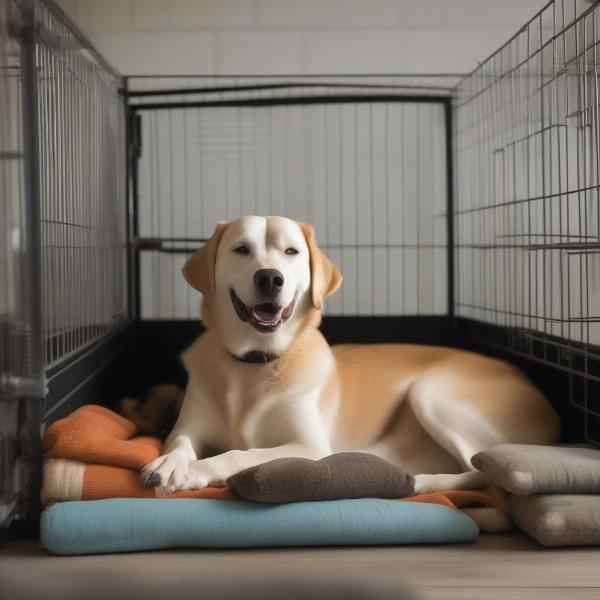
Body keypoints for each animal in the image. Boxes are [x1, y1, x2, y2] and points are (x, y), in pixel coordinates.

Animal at [139, 216, 556, 506]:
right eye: (241, 249)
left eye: (291, 252)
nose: (270, 278)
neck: (256, 361)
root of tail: (548, 406)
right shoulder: (186, 428)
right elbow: (179, 444)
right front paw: (170, 465)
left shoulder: (309, 448)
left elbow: (242, 452)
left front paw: (197, 470)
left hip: (431, 393)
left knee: (480, 471)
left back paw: (422, 481)